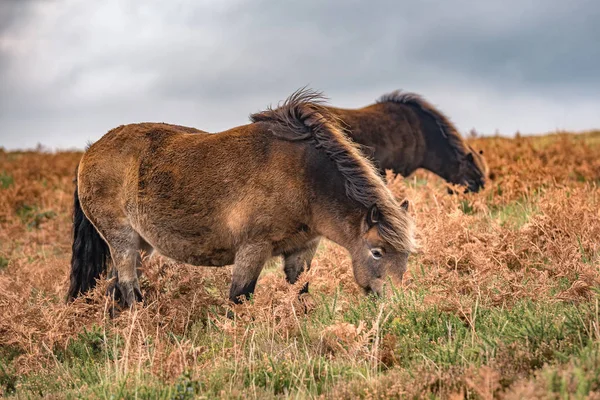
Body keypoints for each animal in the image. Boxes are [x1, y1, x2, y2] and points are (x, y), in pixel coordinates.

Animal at [65, 89, 412, 308]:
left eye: (406, 256)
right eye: (377, 252)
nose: (397, 303)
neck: (304, 179)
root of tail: (90, 151)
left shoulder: (302, 250)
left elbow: (300, 295)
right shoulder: (252, 249)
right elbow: (239, 300)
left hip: (142, 245)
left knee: (114, 291)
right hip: (122, 241)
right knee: (128, 290)